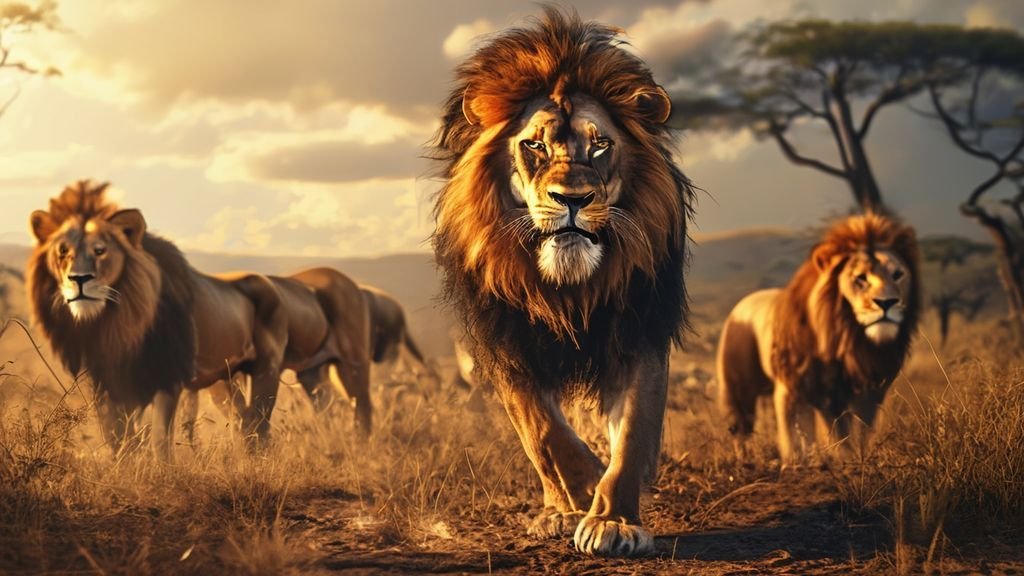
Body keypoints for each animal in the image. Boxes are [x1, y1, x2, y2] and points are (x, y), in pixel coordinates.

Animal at [27, 181, 288, 458]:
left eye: (100, 251)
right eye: (63, 250)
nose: (79, 279)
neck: (114, 325)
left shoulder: (167, 377)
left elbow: (160, 440)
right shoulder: (107, 383)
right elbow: (117, 438)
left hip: (266, 370)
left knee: (260, 425)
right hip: (223, 380)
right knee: (243, 421)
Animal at [431, 9, 694, 557]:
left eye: (601, 145)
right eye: (533, 144)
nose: (572, 199)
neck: (569, 288)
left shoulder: (639, 332)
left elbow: (633, 433)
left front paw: (613, 519)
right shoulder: (509, 345)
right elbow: (545, 434)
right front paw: (585, 490)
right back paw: (559, 509)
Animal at [717, 213, 920, 461]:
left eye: (897, 275)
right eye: (860, 278)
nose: (886, 302)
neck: (848, 340)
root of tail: (741, 304)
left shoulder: (864, 391)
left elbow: (856, 432)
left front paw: (854, 458)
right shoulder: (792, 389)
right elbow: (795, 436)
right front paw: (798, 462)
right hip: (740, 387)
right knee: (741, 428)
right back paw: (744, 459)